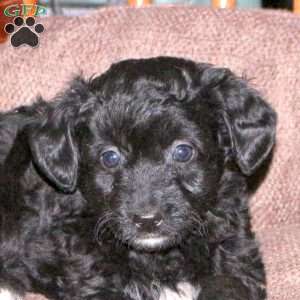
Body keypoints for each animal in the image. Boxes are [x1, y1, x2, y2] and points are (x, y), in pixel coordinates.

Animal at [0, 56, 276, 300]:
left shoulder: (236, 255)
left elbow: (229, 285)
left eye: (183, 152)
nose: (147, 220)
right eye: (110, 157)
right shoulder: (85, 274)